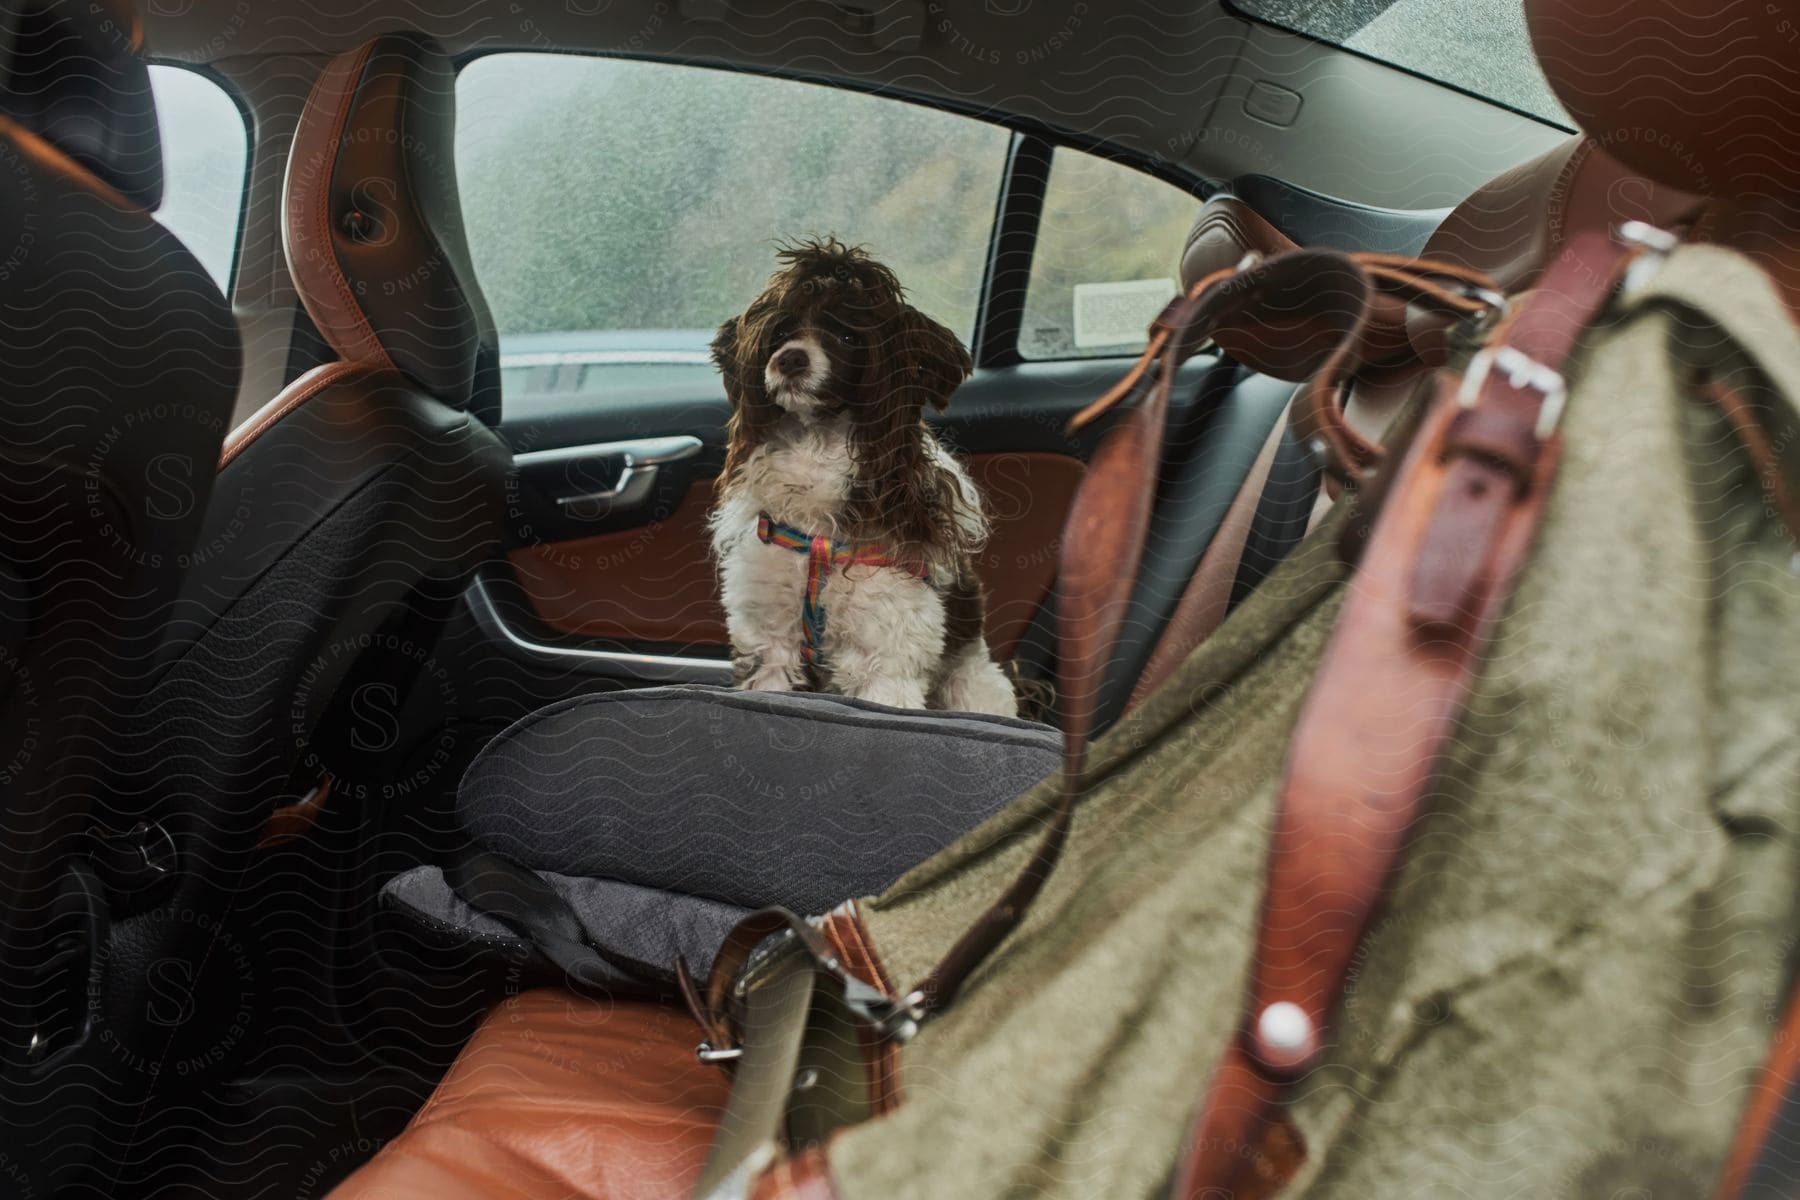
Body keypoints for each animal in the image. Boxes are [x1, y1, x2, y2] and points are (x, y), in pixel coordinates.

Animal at [709, 239, 1022, 719]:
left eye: (849, 336)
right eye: (780, 333)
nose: (790, 359)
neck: (817, 449)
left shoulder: (885, 660)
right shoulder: (771, 646)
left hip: (972, 685)